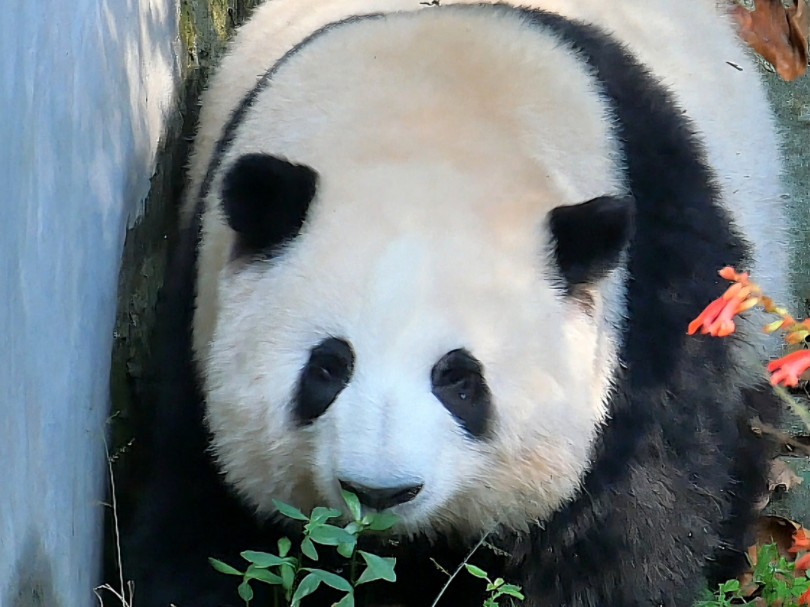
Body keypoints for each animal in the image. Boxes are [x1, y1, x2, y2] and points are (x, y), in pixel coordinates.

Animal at [129, 1, 784, 607]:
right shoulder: (200, 306)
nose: (380, 493)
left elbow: (631, 516)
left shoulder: (650, 314)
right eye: (328, 366)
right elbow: (208, 520)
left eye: (460, 380)